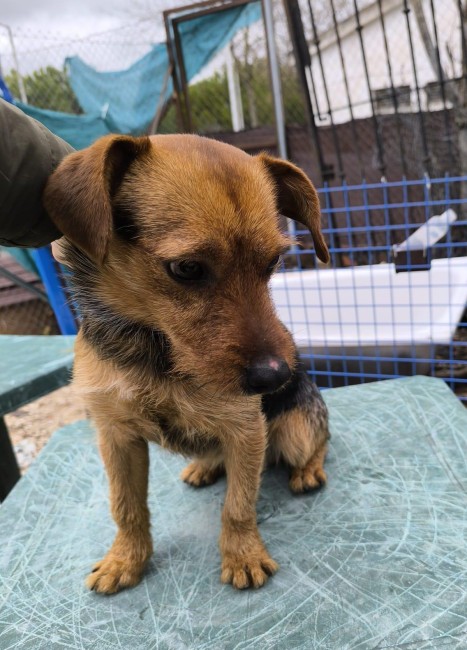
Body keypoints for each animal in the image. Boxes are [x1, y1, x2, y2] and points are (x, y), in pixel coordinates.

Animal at [44, 134, 330, 594]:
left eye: (272, 263)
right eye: (187, 268)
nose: (278, 376)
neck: (155, 351)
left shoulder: (246, 431)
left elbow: (238, 505)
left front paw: (243, 555)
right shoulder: (115, 435)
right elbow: (125, 506)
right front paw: (124, 559)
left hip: (296, 430)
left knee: (319, 440)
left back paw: (308, 471)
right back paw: (204, 466)